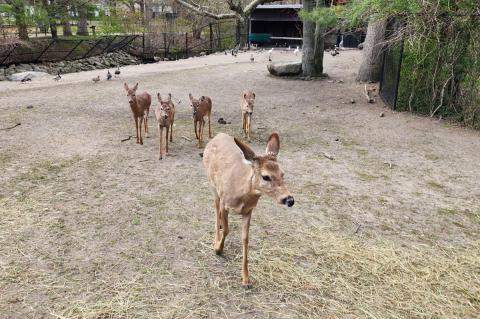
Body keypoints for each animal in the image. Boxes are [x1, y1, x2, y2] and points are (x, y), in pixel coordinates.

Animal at [202, 133, 292, 290]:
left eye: (283, 174)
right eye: (266, 176)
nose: (289, 199)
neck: (240, 192)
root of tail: (218, 135)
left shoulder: (248, 211)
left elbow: (245, 238)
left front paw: (245, 278)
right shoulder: (225, 202)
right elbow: (227, 229)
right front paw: (218, 249)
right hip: (213, 186)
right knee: (216, 209)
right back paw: (216, 237)